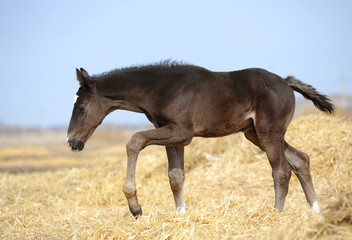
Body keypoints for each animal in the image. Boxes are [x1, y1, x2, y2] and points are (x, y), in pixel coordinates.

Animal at [67, 62, 334, 218]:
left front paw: (135, 207)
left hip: (269, 132)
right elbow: (175, 177)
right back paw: (315, 210)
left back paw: (276, 215)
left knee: (281, 171)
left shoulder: (182, 132)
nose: (72, 142)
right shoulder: (171, 134)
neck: (162, 89)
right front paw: (180, 215)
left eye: (81, 108)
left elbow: (134, 141)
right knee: (300, 159)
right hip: (255, 133)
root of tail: (285, 82)